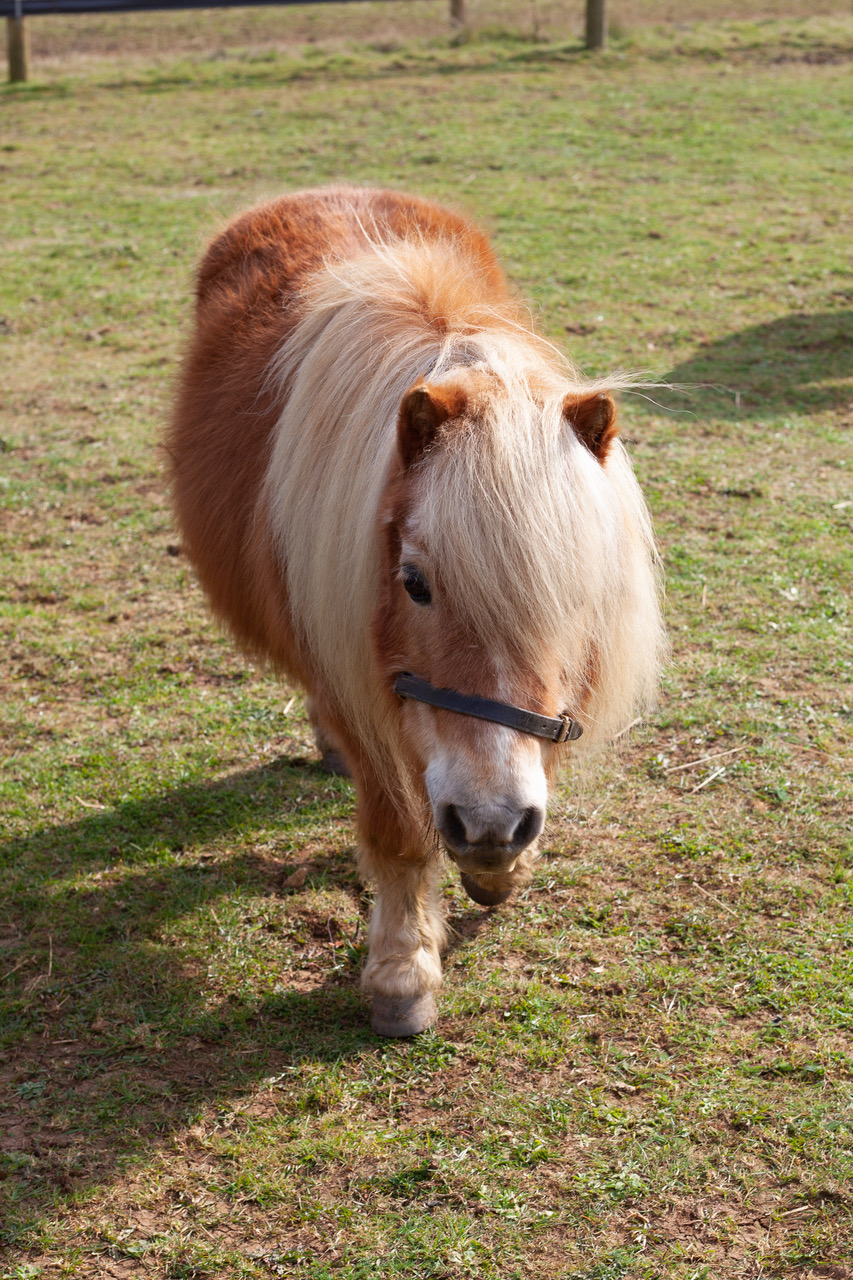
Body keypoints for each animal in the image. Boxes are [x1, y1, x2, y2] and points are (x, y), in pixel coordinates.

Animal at [167, 185, 666, 1034]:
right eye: (413, 581)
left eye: (577, 588)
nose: (490, 820)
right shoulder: (361, 691)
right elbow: (398, 835)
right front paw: (402, 973)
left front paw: (505, 867)